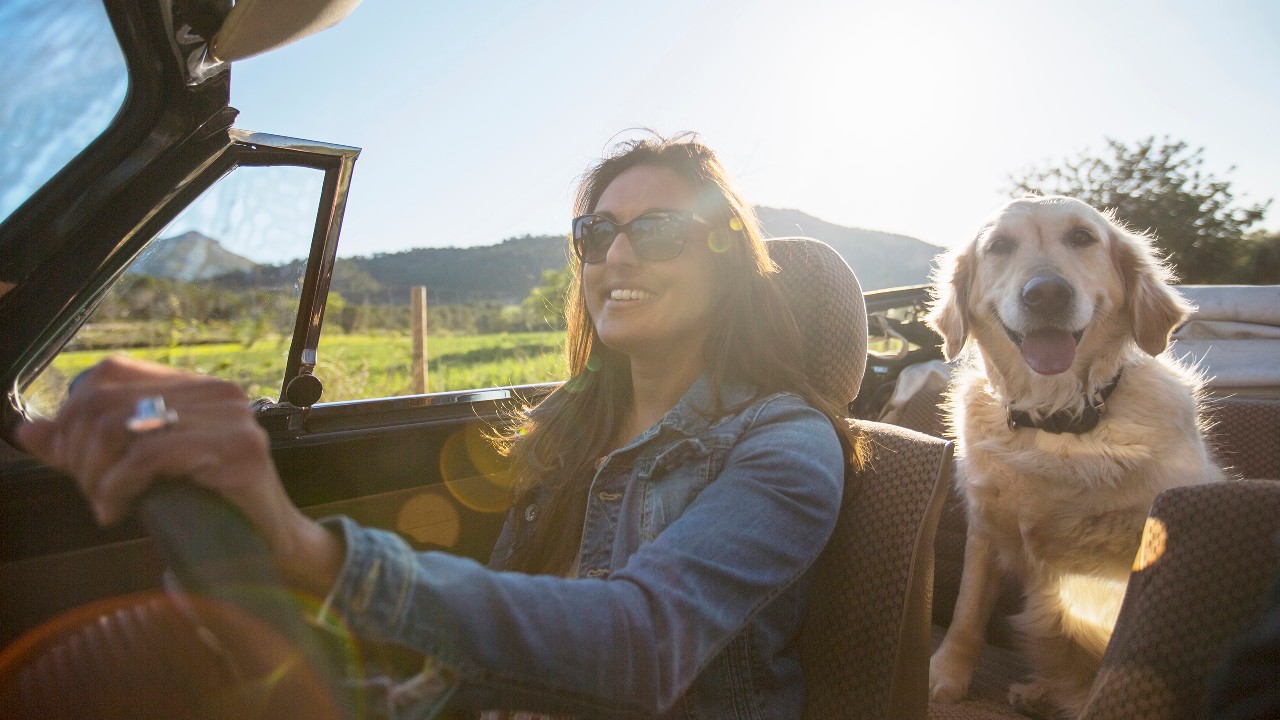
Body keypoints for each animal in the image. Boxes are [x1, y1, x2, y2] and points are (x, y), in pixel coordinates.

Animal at [921, 193, 1218, 712]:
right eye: (999, 246)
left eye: (1083, 237)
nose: (1046, 294)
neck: (1058, 415)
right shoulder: (985, 525)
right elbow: (967, 610)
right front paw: (947, 674)